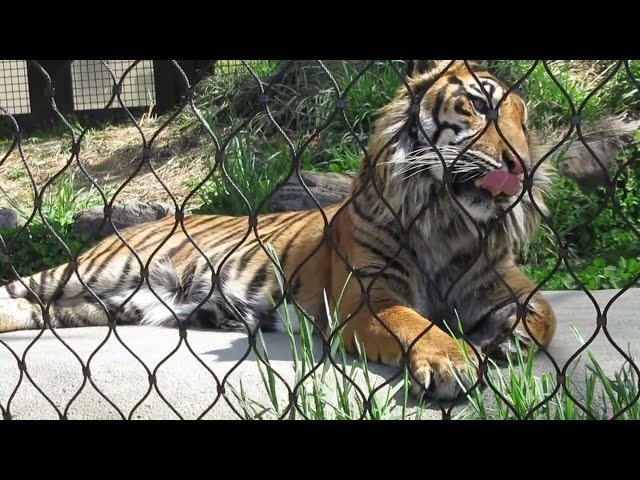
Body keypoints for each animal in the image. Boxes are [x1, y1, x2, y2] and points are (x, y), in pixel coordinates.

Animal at [0, 60, 557, 402]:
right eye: (481, 106)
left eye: (525, 122)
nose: (523, 167)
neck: (449, 220)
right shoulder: (367, 298)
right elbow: (411, 322)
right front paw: (451, 362)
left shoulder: (495, 277)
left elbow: (545, 311)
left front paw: (507, 336)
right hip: (90, 271)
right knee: (17, 288)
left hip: (104, 303)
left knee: (32, 310)